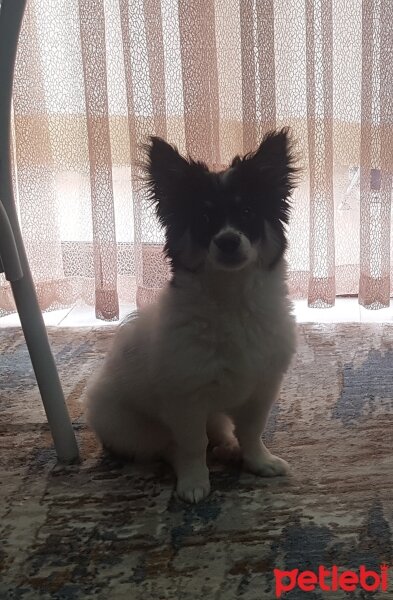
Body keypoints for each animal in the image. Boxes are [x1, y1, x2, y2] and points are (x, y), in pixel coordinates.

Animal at [84, 129, 296, 504]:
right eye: (204, 219)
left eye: (247, 211)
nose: (228, 241)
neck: (231, 300)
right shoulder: (186, 399)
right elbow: (193, 444)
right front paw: (196, 482)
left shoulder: (262, 386)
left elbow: (252, 431)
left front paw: (259, 461)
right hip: (130, 428)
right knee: (166, 446)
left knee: (220, 431)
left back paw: (228, 447)